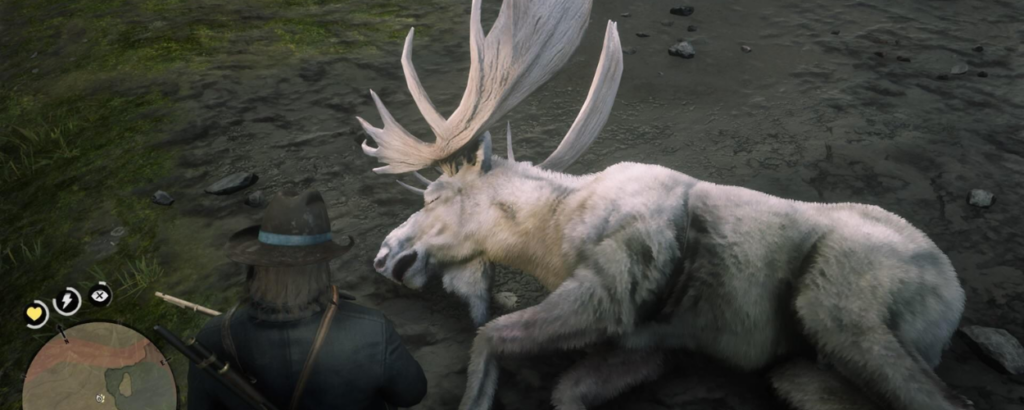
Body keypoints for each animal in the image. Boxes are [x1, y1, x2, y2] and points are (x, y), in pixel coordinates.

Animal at [355, 0, 972, 409]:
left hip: (840, 311)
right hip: (801, 363)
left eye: (436, 195)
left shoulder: (603, 293)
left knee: (940, 398)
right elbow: (567, 390)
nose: (384, 254)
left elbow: (489, 339)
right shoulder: (647, 344)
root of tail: (952, 295)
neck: (552, 236)